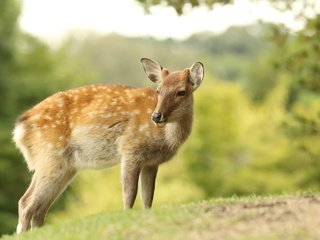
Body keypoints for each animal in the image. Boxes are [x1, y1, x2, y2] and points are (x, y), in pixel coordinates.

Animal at [12, 57, 204, 232]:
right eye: (158, 90)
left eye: (181, 92)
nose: (157, 116)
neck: (165, 138)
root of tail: (19, 129)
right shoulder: (130, 148)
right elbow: (130, 192)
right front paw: (127, 215)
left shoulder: (151, 162)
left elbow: (148, 196)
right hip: (50, 156)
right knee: (27, 203)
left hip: (64, 166)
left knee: (38, 208)